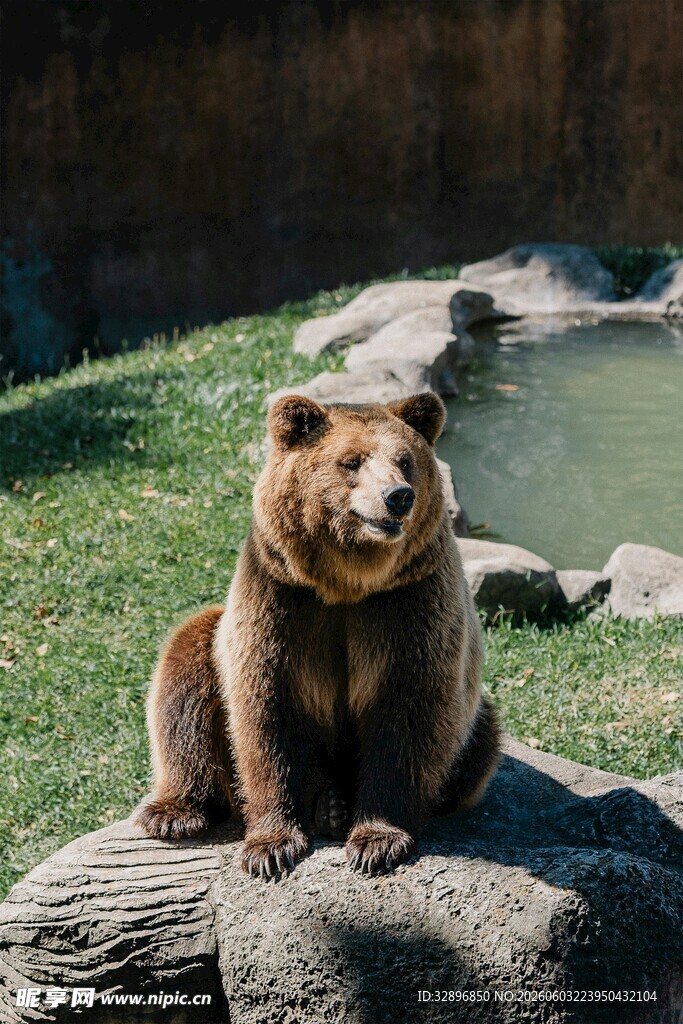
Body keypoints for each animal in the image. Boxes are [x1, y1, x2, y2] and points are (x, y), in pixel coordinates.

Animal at [134, 391, 500, 878]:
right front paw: (271, 847)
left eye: (405, 460)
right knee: (185, 671)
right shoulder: (281, 601)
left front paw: (376, 841)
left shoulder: (410, 606)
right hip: (214, 643)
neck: (348, 583)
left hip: (471, 732)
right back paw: (174, 812)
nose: (397, 497)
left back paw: (336, 809)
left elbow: (406, 717)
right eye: (351, 461)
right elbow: (265, 712)